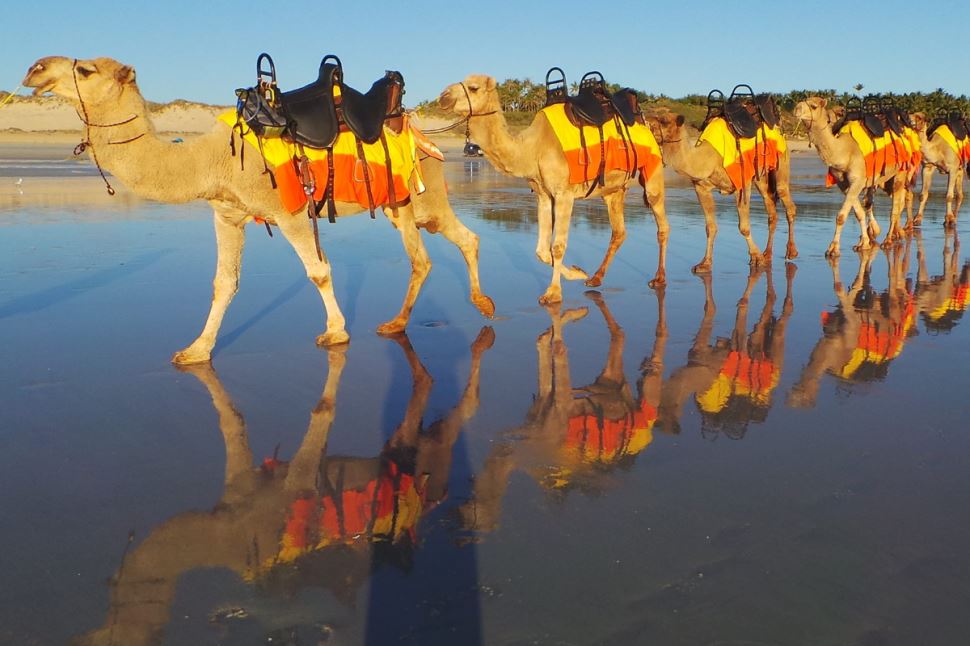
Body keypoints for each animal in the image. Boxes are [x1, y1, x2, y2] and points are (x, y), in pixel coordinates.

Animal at [22, 56, 494, 364]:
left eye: (85, 70)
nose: (35, 69)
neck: (211, 159)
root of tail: (415, 123)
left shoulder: (288, 211)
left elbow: (318, 271)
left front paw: (335, 332)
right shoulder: (227, 213)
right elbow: (224, 283)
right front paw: (196, 350)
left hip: (422, 194)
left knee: (451, 242)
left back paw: (477, 306)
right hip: (403, 204)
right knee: (430, 253)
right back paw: (407, 322)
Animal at [437, 75, 669, 304]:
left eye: (473, 88)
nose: (443, 96)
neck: (532, 148)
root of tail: (646, 120)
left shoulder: (564, 193)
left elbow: (557, 246)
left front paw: (553, 293)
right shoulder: (543, 195)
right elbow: (542, 251)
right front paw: (577, 273)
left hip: (653, 166)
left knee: (661, 223)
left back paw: (659, 279)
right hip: (613, 189)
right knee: (619, 232)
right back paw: (595, 278)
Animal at [648, 113, 799, 273]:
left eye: (664, 120)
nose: (646, 122)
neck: (708, 159)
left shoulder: (741, 183)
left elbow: (744, 227)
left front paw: (757, 258)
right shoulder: (701, 187)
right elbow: (710, 227)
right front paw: (705, 263)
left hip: (781, 160)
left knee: (786, 200)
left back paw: (791, 252)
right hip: (761, 176)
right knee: (770, 207)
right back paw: (768, 254)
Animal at [793, 97, 909, 256]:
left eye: (813, 106)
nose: (796, 109)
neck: (844, 151)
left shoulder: (857, 181)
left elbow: (841, 216)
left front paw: (833, 248)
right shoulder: (844, 184)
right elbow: (858, 212)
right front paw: (864, 243)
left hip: (900, 172)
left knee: (895, 208)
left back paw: (888, 241)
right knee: (879, 201)